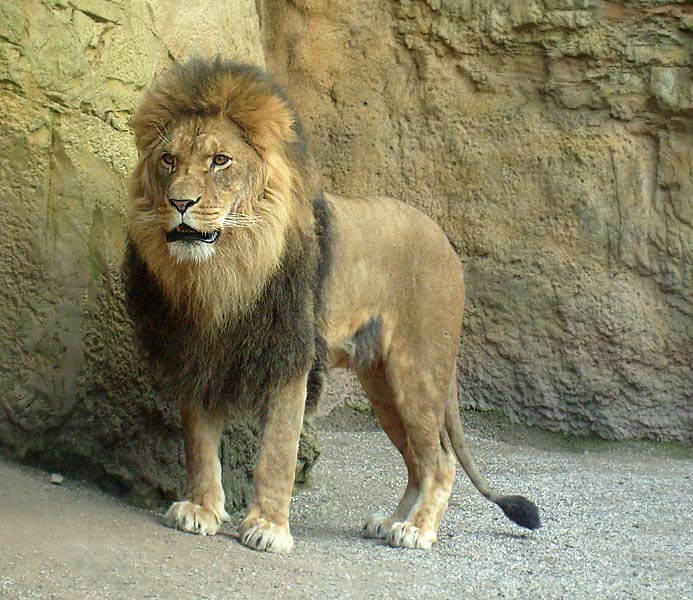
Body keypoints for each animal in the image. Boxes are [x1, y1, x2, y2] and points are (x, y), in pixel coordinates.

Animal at [123, 57, 540, 552]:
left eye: (220, 161)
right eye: (169, 160)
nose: (180, 202)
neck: (223, 273)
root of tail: (446, 243)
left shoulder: (291, 354)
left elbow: (278, 451)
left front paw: (268, 527)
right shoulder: (197, 354)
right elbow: (200, 444)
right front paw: (201, 510)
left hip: (417, 371)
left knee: (439, 460)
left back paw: (417, 530)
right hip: (380, 382)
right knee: (416, 460)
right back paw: (390, 521)